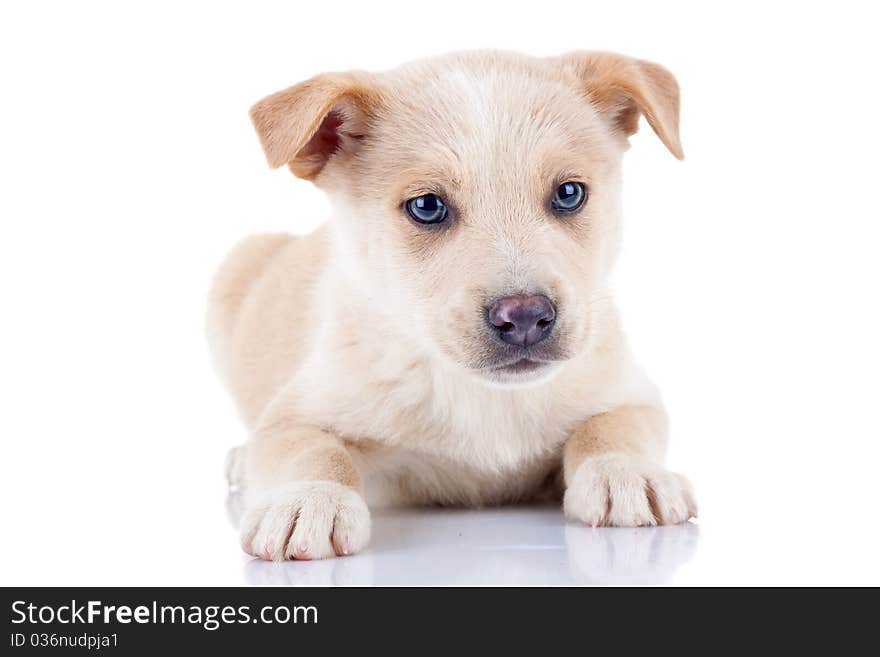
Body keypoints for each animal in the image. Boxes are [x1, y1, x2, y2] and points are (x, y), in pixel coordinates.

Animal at [206, 50, 696, 560]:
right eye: (426, 206)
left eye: (569, 193)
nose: (525, 316)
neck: (481, 393)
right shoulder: (299, 410)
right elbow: (310, 448)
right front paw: (308, 498)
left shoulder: (629, 391)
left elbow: (612, 426)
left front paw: (627, 472)